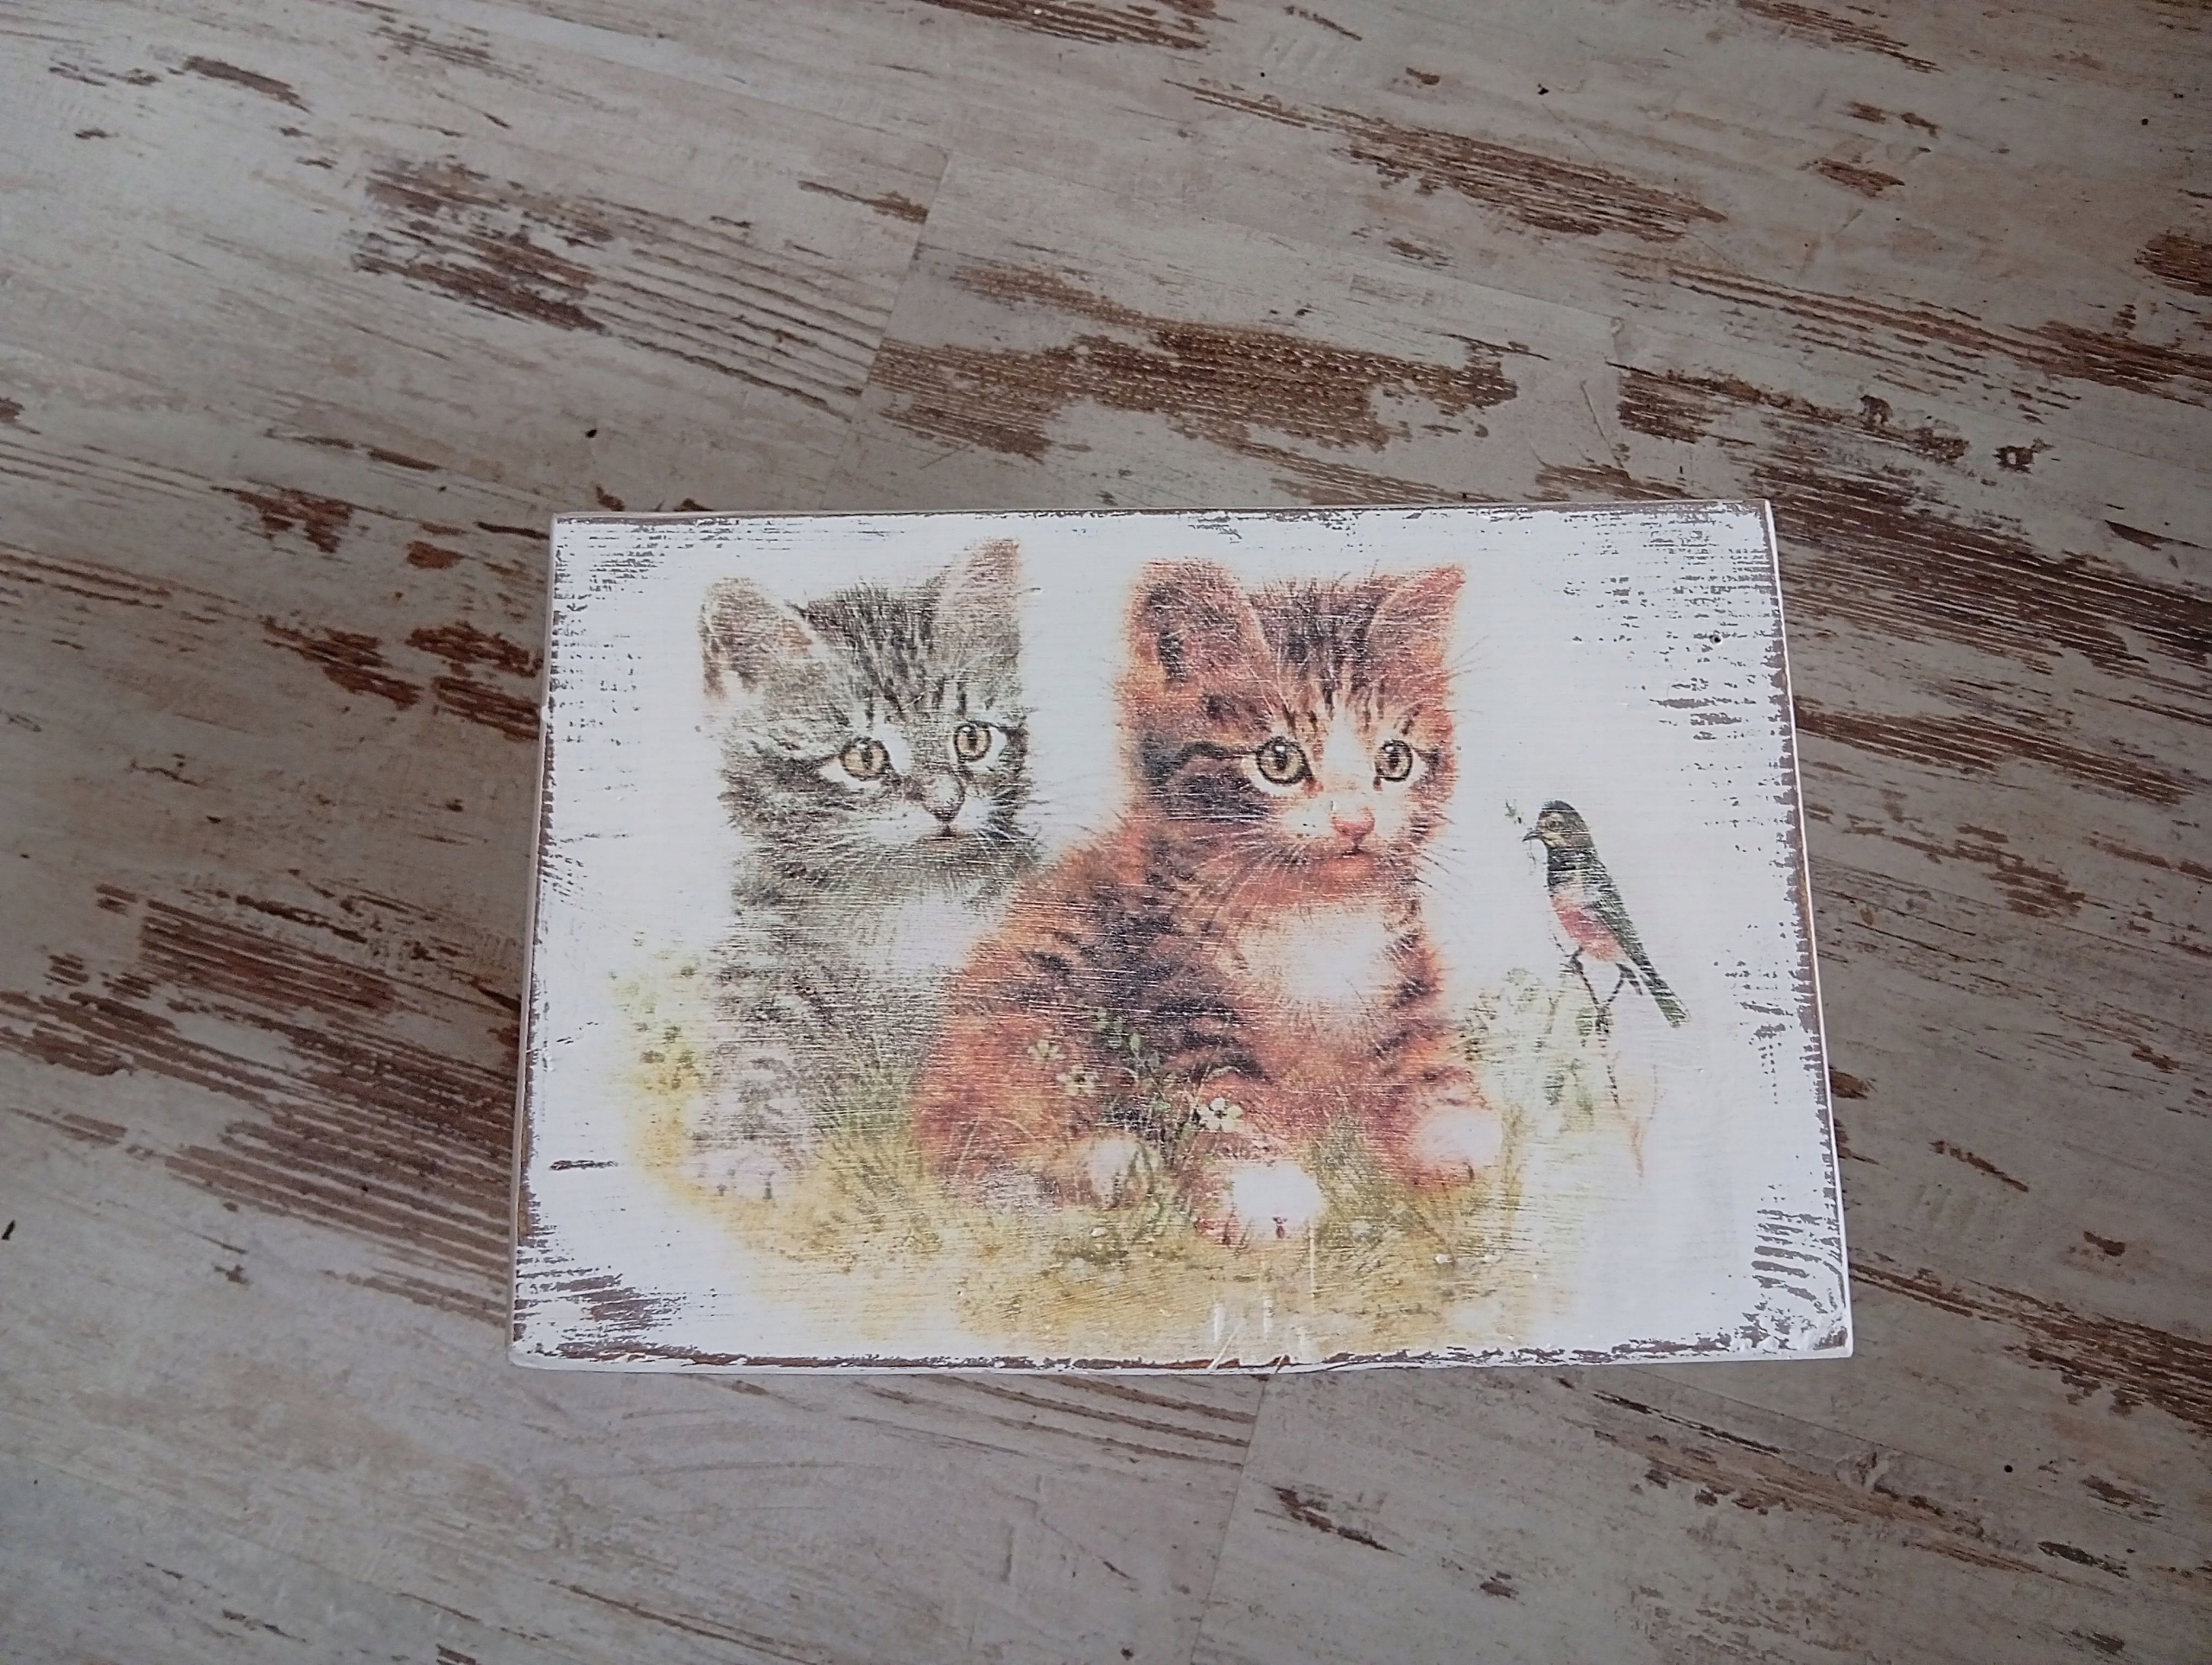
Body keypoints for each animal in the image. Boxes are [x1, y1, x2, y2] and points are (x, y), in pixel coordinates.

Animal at [685, 539, 1039, 1200]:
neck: (902, 908)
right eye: (864, 757)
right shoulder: (768, 957)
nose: (947, 803)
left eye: (972, 739)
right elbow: (756, 1052)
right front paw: (746, 1145)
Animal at [912, 558, 1501, 1238]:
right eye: (1279, 760)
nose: (1356, 822)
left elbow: (1419, 1043)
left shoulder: (1400, 958)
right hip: (1042, 983)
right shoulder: (1170, 977)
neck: (1307, 909)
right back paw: (1105, 1161)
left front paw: (1454, 1132)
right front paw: (1264, 1190)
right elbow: (1221, 1093)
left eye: (1395, 759)